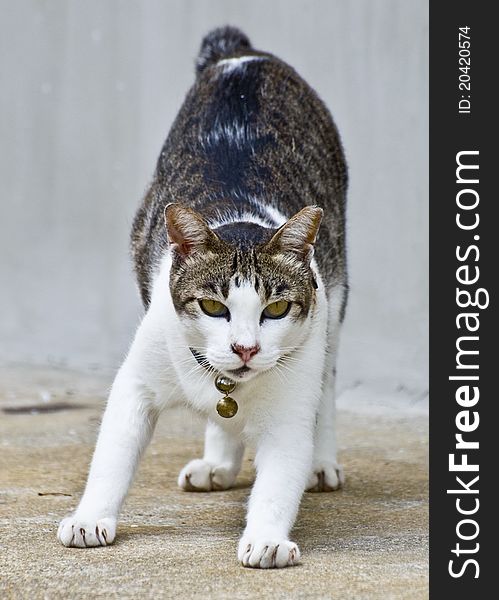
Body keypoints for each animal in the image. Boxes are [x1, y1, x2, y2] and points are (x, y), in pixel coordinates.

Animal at [57, 25, 348, 568]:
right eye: (213, 306)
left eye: (277, 309)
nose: (245, 348)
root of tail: (241, 55)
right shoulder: (137, 381)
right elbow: (112, 455)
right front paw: (90, 517)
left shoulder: (292, 401)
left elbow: (280, 476)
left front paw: (267, 537)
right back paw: (219, 462)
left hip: (335, 305)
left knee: (327, 384)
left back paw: (321, 462)